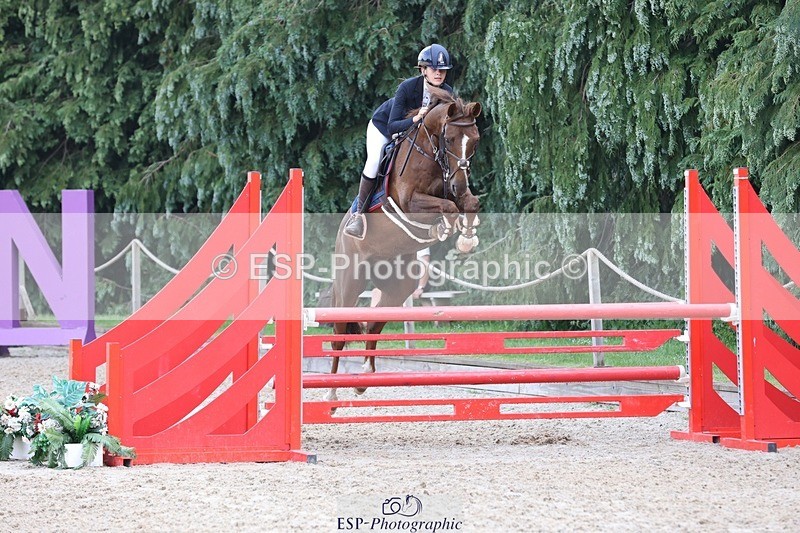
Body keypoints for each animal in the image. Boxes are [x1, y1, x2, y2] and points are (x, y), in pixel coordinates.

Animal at [326, 86, 482, 402]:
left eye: (474, 141)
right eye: (449, 139)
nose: (460, 183)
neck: (432, 153)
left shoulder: (456, 191)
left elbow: (468, 203)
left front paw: (466, 237)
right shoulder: (410, 202)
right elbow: (447, 206)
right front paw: (445, 228)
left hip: (399, 285)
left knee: (374, 323)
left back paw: (364, 377)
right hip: (350, 283)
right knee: (339, 334)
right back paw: (332, 395)